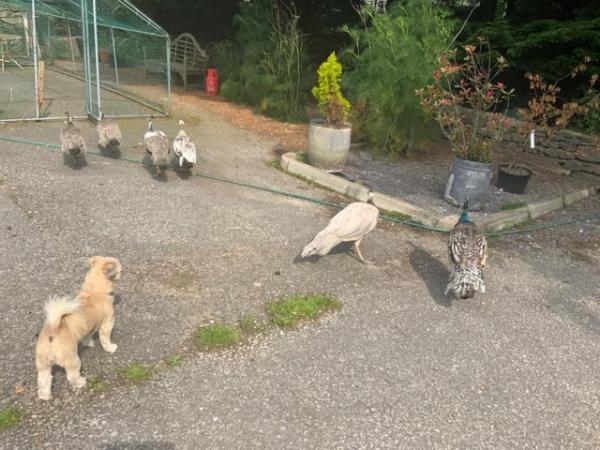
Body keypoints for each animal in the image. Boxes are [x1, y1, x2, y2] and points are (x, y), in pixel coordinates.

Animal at [35, 256, 122, 400]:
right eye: (117, 270)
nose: (120, 275)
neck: (94, 291)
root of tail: (53, 331)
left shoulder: (89, 328)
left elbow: (88, 336)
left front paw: (89, 344)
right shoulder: (107, 323)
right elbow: (105, 339)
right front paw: (111, 348)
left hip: (43, 365)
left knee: (44, 380)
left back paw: (45, 396)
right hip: (72, 360)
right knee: (72, 377)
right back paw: (81, 382)